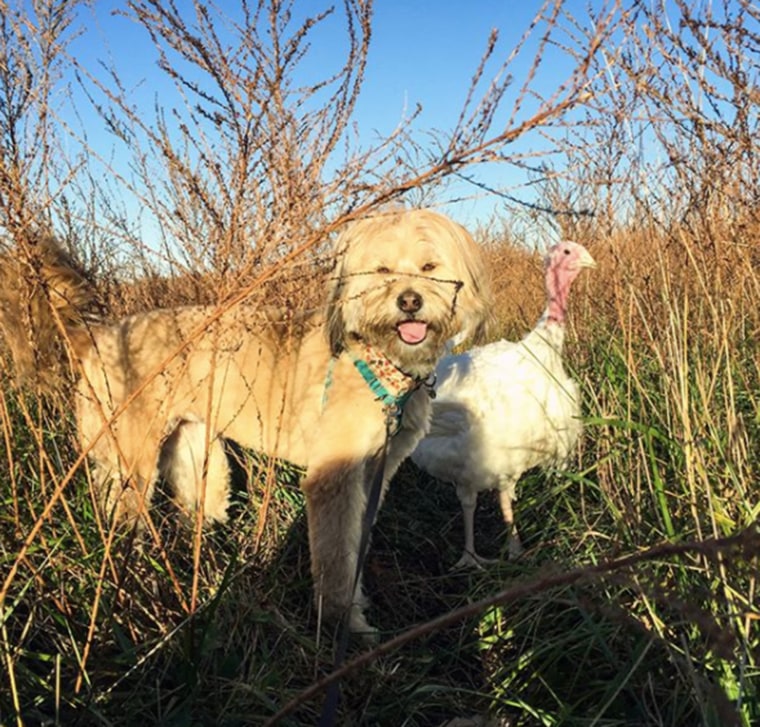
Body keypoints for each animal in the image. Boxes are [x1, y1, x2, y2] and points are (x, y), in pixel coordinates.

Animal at [1, 208, 492, 636]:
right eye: (382, 269)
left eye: (429, 266)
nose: (409, 301)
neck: (375, 358)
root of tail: (99, 335)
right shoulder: (333, 479)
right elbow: (336, 556)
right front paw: (343, 624)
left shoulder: (376, 474)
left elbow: (357, 544)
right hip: (131, 466)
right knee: (121, 524)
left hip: (194, 455)